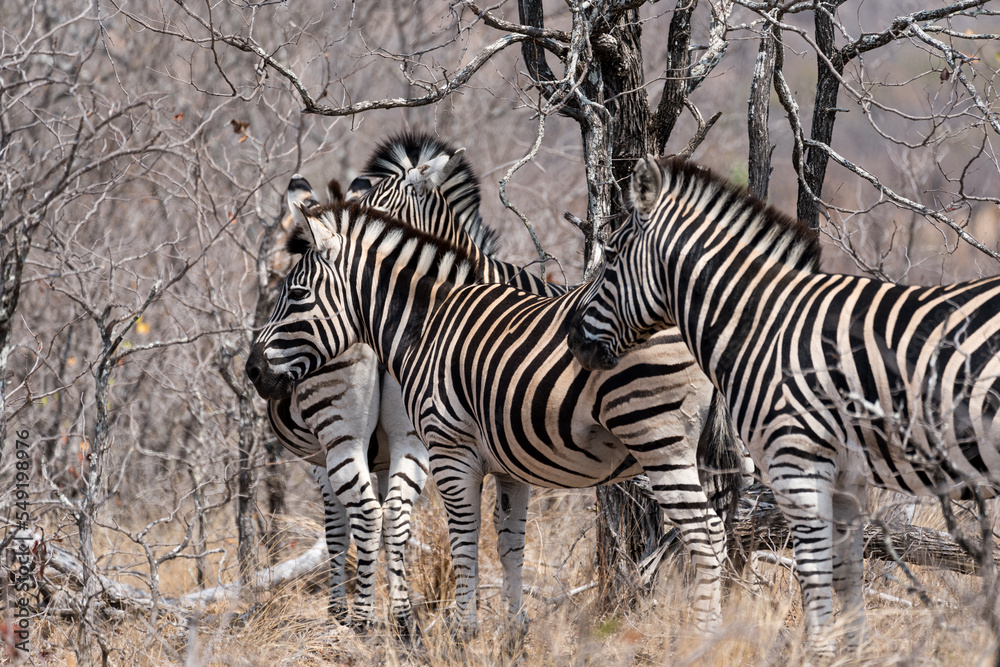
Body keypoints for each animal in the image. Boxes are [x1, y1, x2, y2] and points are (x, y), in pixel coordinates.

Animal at [244, 194, 745, 640]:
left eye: (297, 294)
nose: (253, 371)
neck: (429, 325)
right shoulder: (511, 467)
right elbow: (510, 545)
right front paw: (514, 631)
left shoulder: (450, 451)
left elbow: (464, 540)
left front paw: (462, 632)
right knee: (720, 529)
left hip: (660, 439)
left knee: (704, 534)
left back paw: (705, 637)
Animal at [566, 155, 1000, 656]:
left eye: (610, 258)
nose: (572, 339)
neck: (764, 328)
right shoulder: (847, 478)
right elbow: (848, 578)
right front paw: (850, 655)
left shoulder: (797, 463)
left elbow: (814, 576)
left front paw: (821, 653)